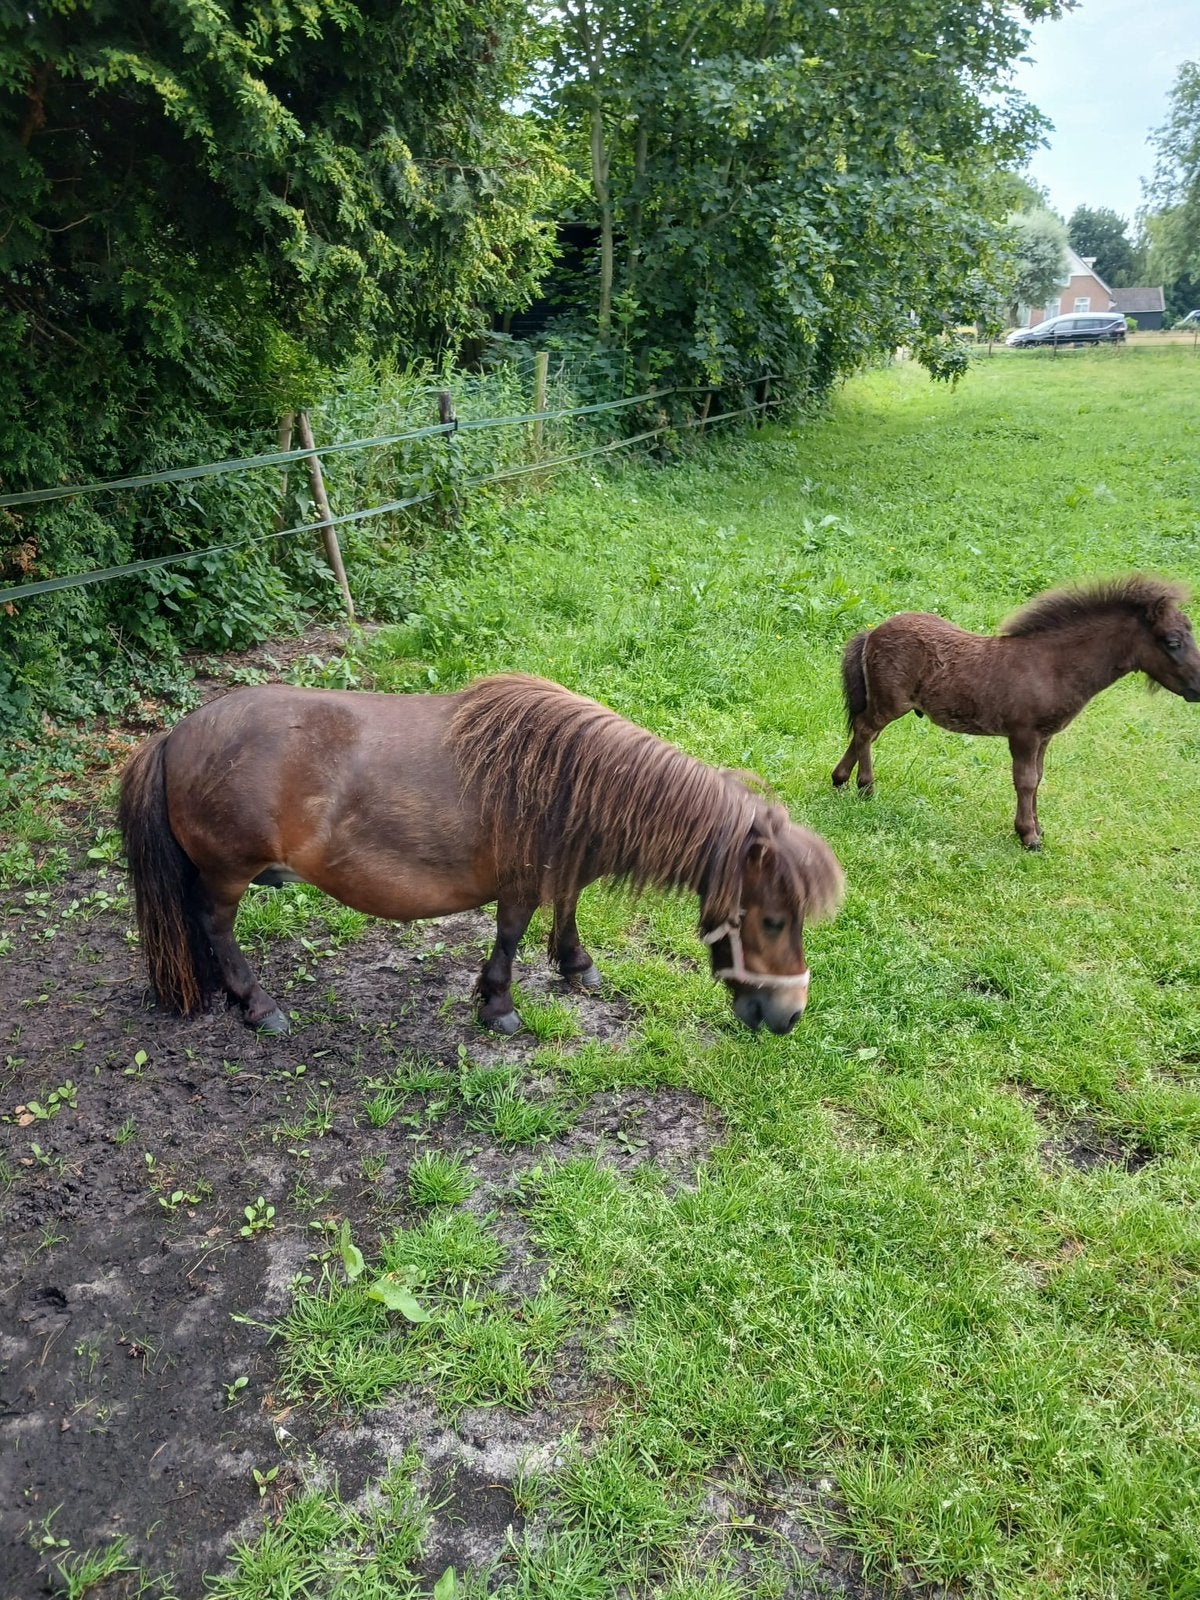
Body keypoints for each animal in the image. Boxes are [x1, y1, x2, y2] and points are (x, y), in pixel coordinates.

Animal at [119, 674, 844, 1038]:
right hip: (228, 874)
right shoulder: (520, 883)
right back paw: (257, 1004)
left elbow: (568, 909)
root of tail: (172, 737)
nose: (790, 1016)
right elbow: (510, 936)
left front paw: (576, 965)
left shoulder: (561, 868)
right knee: (216, 927)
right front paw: (497, 1007)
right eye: (773, 920)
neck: (572, 778)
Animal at [831, 575, 1200, 849]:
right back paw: (864, 787)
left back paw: (841, 780)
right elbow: (1025, 780)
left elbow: (1039, 777)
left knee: (864, 733)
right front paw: (1029, 836)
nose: (1198, 688)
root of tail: (873, 631)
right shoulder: (1024, 734)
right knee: (865, 730)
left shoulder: (1045, 737)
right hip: (892, 703)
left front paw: (1037, 827)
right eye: (1172, 642)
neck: (1053, 666)